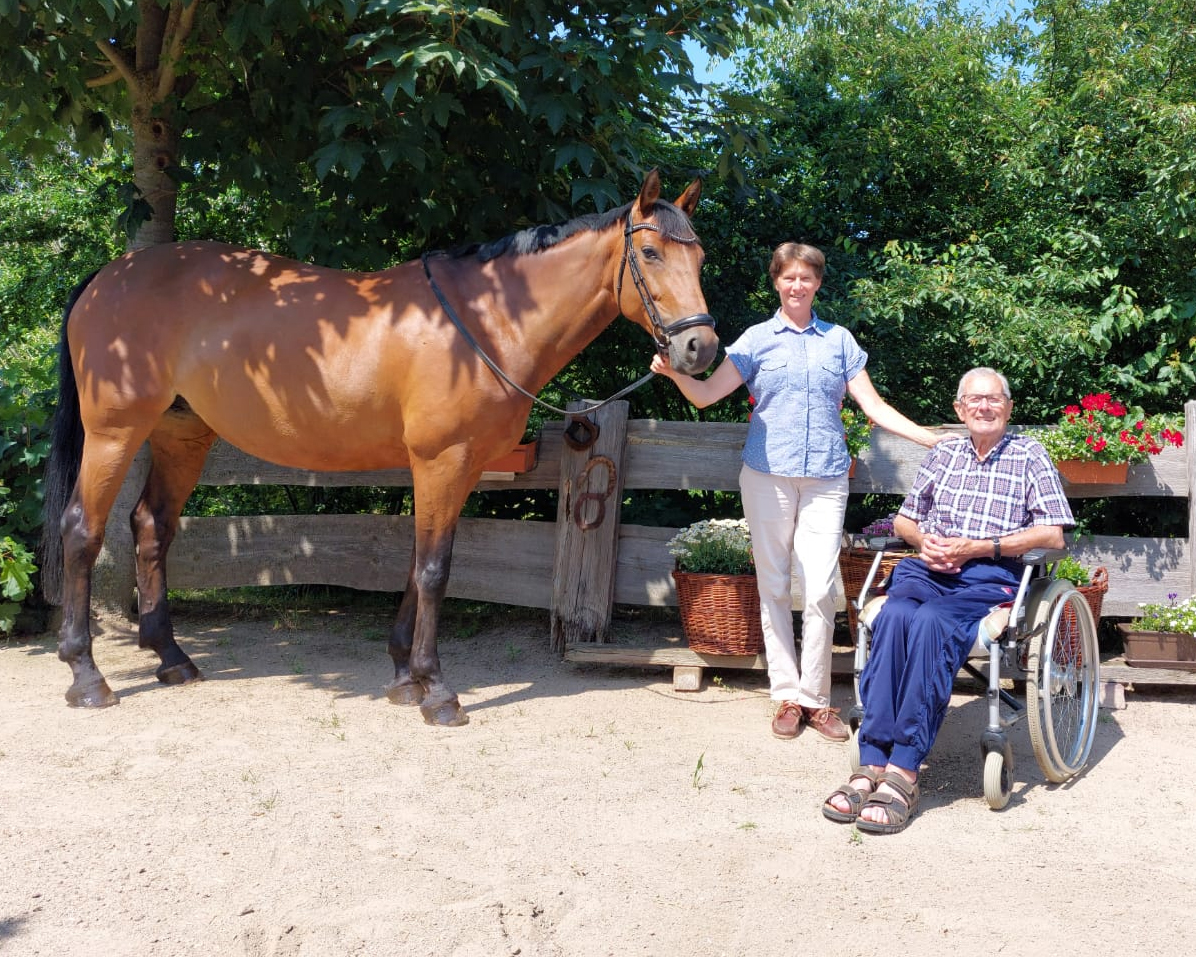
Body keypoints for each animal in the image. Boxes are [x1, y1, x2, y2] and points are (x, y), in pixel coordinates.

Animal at [39, 172, 717, 727]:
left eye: (700, 256)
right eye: (650, 253)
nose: (700, 350)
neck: (487, 320)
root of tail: (110, 276)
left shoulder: (456, 468)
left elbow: (418, 565)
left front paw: (403, 678)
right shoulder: (442, 460)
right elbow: (436, 570)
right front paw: (437, 691)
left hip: (181, 434)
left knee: (151, 526)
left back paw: (172, 657)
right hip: (114, 434)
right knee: (82, 530)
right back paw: (86, 676)